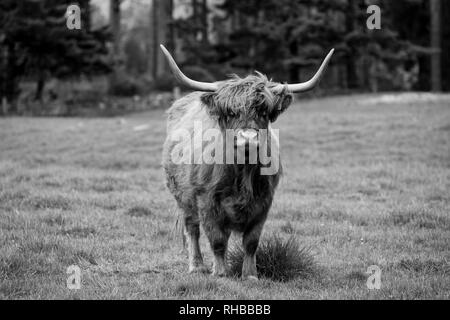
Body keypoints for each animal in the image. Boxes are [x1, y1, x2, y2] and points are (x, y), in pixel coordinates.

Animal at [160, 43, 332, 278]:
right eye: (231, 113)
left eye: (263, 112)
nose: (248, 139)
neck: (242, 171)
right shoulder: (206, 201)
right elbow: (216, 240)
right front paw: (220, 273)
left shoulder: (264, 202)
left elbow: (251, 242)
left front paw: (250, 274)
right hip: (183, 197)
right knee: (192, 229)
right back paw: (197, 266)